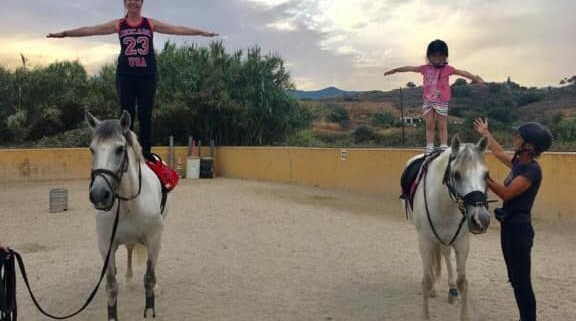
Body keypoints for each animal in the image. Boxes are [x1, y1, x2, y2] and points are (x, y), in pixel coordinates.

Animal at [86, 109, 166, 318]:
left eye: (120, 149)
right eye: (92, 149)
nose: (99, 194)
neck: (129, 204)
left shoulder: (153, 240)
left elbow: (149, 278)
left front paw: (149, 310)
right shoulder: (106, 245)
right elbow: (112, 287)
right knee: (129, 249)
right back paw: (129, 278)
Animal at [404, 136, 490, 320]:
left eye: (486, 175)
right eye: (456, 175)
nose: (480, 219)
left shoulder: (462, 242)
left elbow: (463, 281)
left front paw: (465, 314)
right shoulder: (425, 241)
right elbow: (426, 280)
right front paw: (425, 315)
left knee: (444, 253)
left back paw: (451, 289)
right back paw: (436, 288)